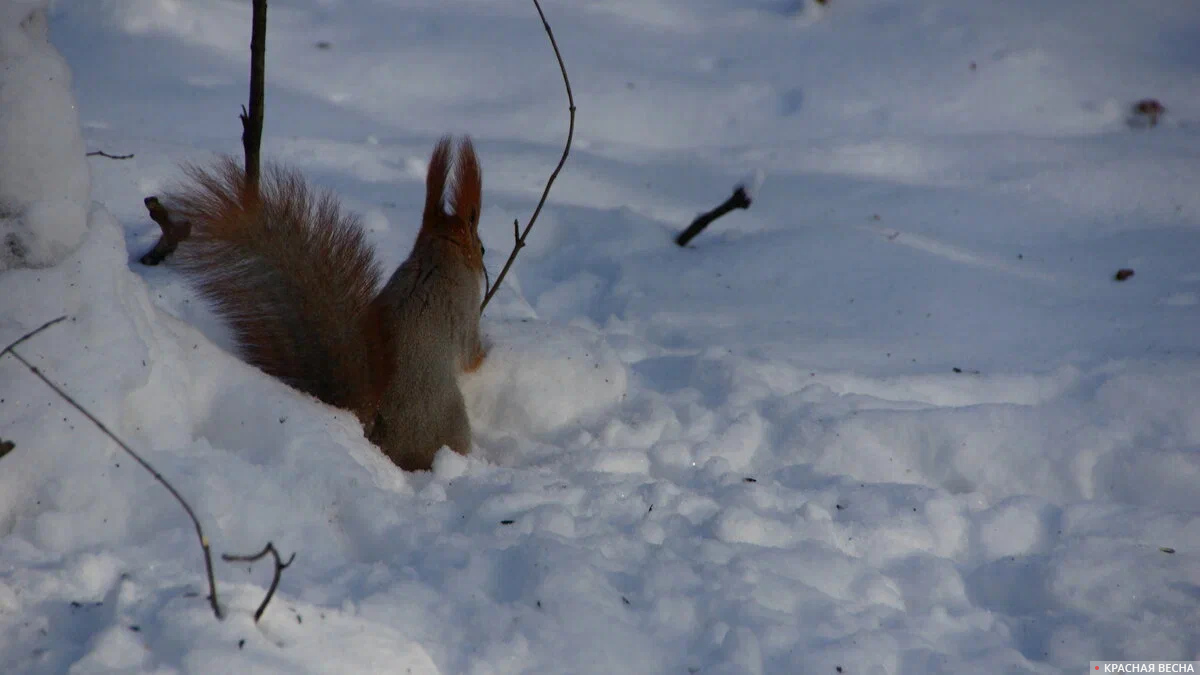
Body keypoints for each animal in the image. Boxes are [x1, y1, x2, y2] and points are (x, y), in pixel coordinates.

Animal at [164, 133, 487, 470]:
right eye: (482, 249)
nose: (483, 266)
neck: (437, 253)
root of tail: (377, 434)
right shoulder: (465, 308)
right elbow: (471, 355)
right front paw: (489, 351)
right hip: (451, 420)